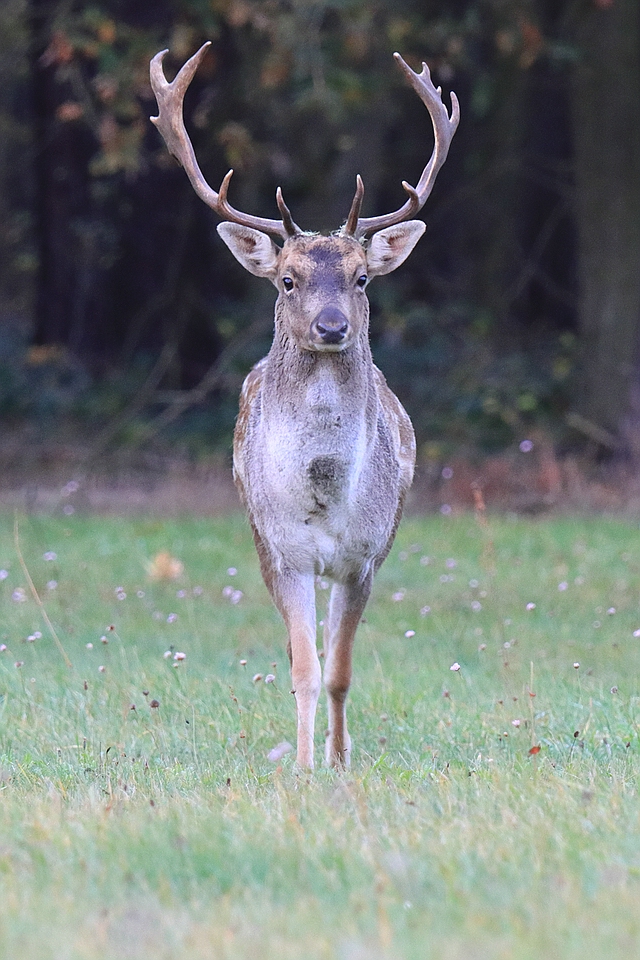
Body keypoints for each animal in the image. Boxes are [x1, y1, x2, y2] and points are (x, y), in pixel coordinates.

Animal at [151, 41, 460, 768]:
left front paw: (339, 761)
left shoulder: (366, 555)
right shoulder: (281, 551)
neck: (321, 493)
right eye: (288, 280)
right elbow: (302, 667)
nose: (331, 326)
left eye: (362, 277)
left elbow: (340, 669)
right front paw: (300, 764)